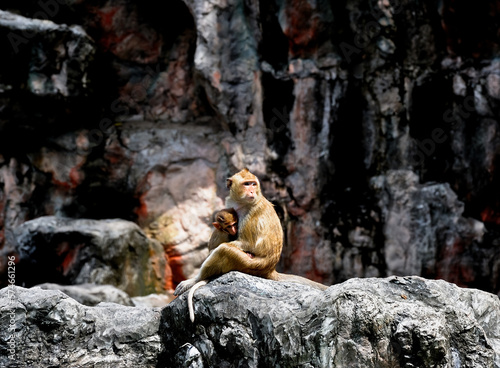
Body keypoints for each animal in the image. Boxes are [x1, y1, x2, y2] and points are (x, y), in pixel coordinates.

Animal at [176, 169, 328, 322]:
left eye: (253, 184)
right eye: (247, 184)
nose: (252, 191)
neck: (242, 203)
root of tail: (270, 269)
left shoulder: (252, 214)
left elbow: (246, 243)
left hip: (251, 266)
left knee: (225, 250)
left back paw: (195, 280)